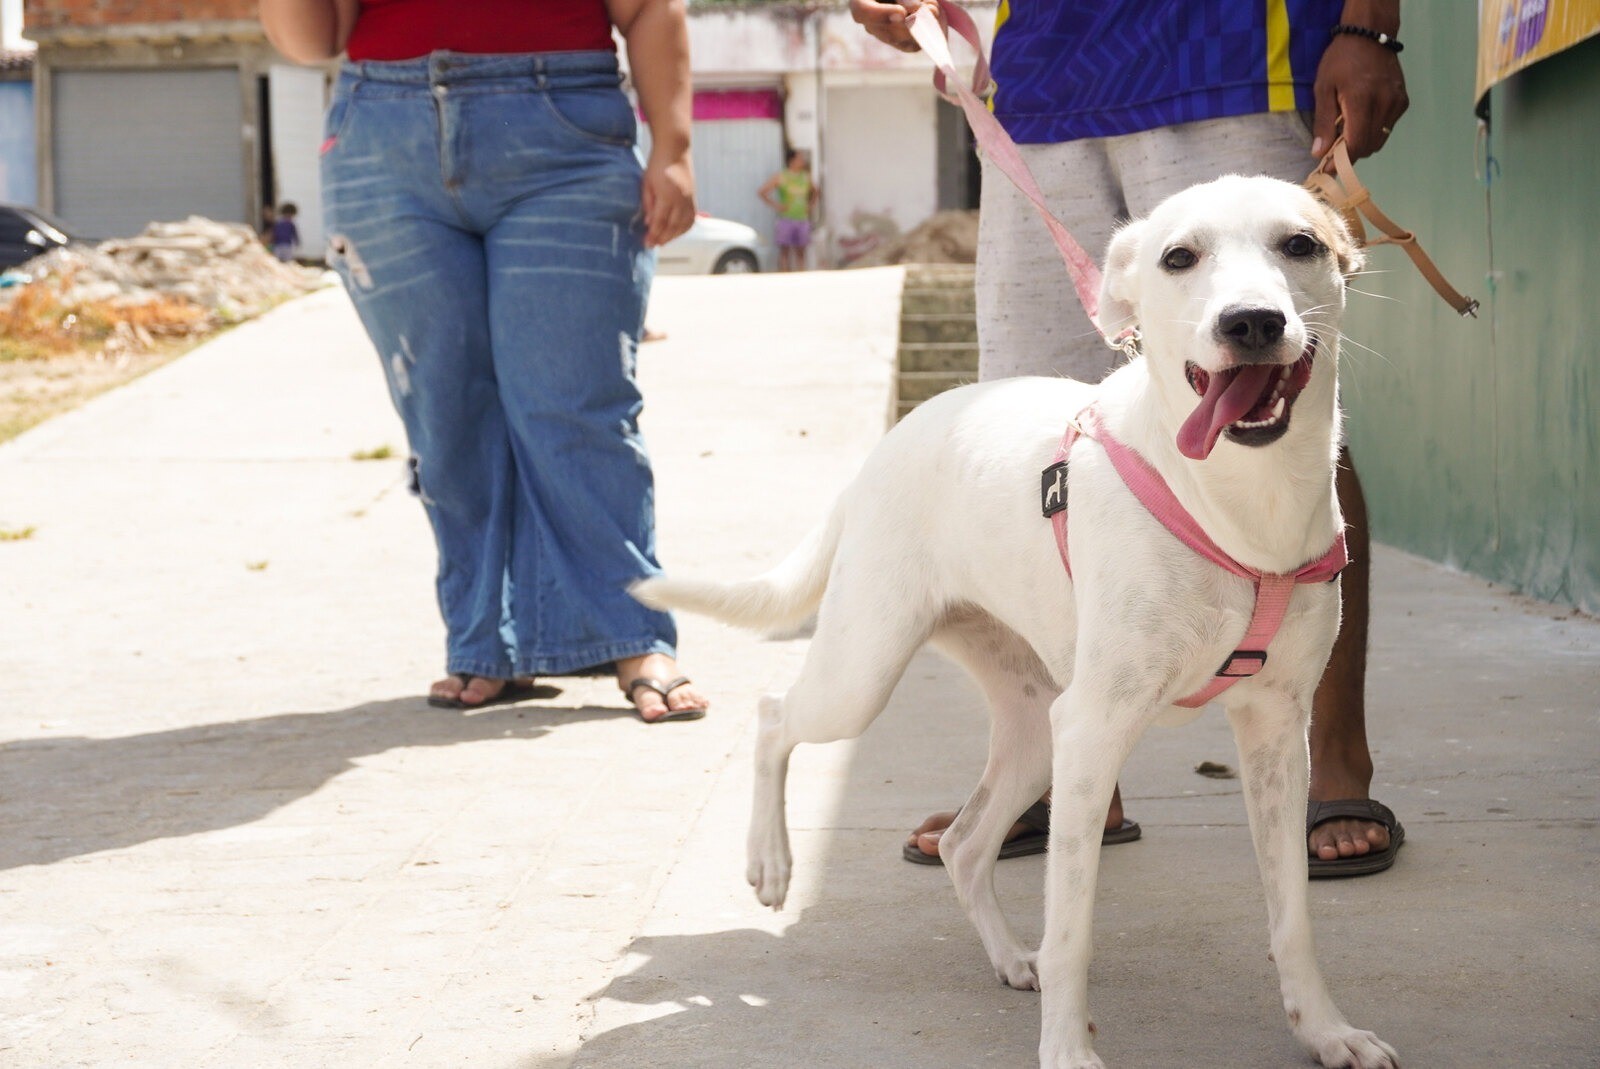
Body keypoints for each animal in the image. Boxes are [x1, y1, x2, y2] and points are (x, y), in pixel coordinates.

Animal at [630, 177, 1395, 1069]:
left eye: (1300, 245)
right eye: (1180, 257)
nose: (1252, 323)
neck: (1245, 502)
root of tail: (894, 439)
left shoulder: (1274, 730)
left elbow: (1292, 915)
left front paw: (1325, 1029)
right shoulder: (1095, 729)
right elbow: (1073, 930)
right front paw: (1066, 1049)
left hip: (1035, 730)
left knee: (964, 843)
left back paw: (1006, 956)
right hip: (870, 670)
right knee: (774, 714)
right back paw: (772, 863)